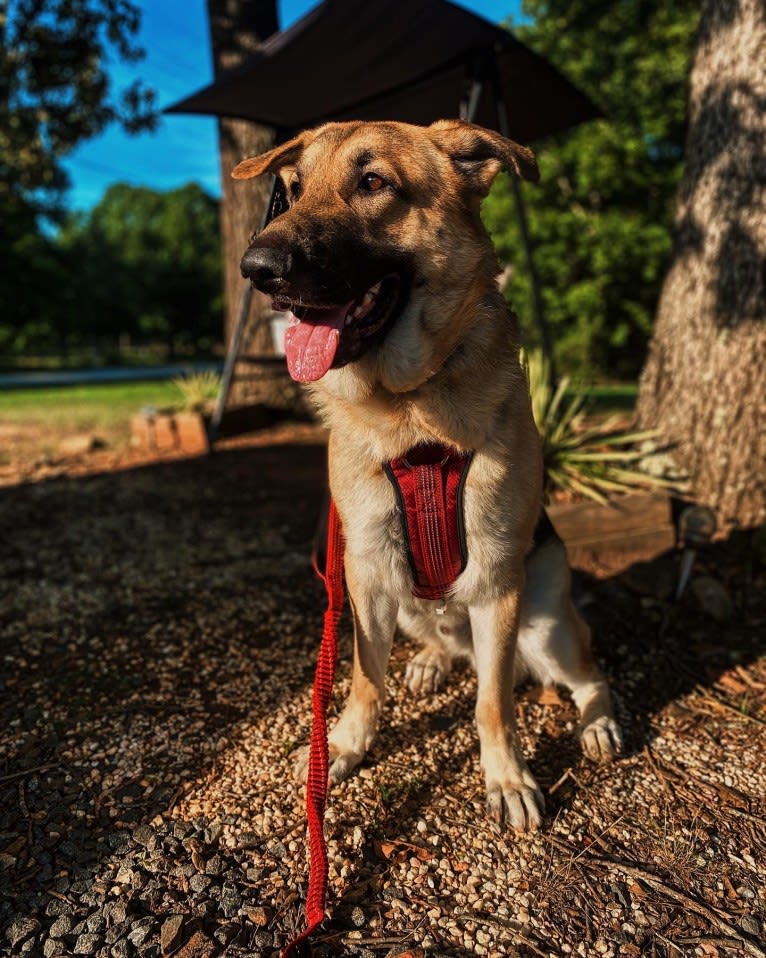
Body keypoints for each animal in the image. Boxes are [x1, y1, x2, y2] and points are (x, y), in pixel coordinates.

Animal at [234, 122, 624, 832]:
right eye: (292, 191)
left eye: (372, 182)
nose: (257, 269)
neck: (410, 414)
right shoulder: (363, 574)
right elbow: (364, 678)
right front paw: (343, 746)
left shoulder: (495, 586)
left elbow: (493, 704)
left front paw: (507, 777)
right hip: (403, 601)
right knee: (440, 647)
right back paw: (432, 662)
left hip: (545, 628)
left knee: (586, 671)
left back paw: (598, 723)